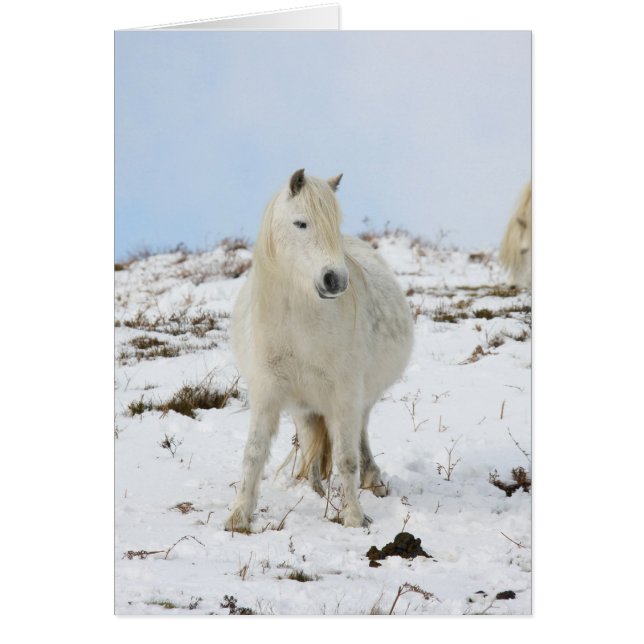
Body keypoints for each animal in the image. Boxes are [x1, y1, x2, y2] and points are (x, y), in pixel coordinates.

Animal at [224, 169, 413, 531]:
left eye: (335, 223)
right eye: (301, 223)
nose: (335, 280)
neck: (298, 327)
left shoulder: (345, 396)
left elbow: (346, 458)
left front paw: (355, 517)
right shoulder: (267, 394)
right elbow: (253, 453)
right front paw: (238, 517)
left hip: (358, 400)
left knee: (359, 436)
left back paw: (373, 480)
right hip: (304, 406)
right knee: (311, 441)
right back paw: (313, 487)